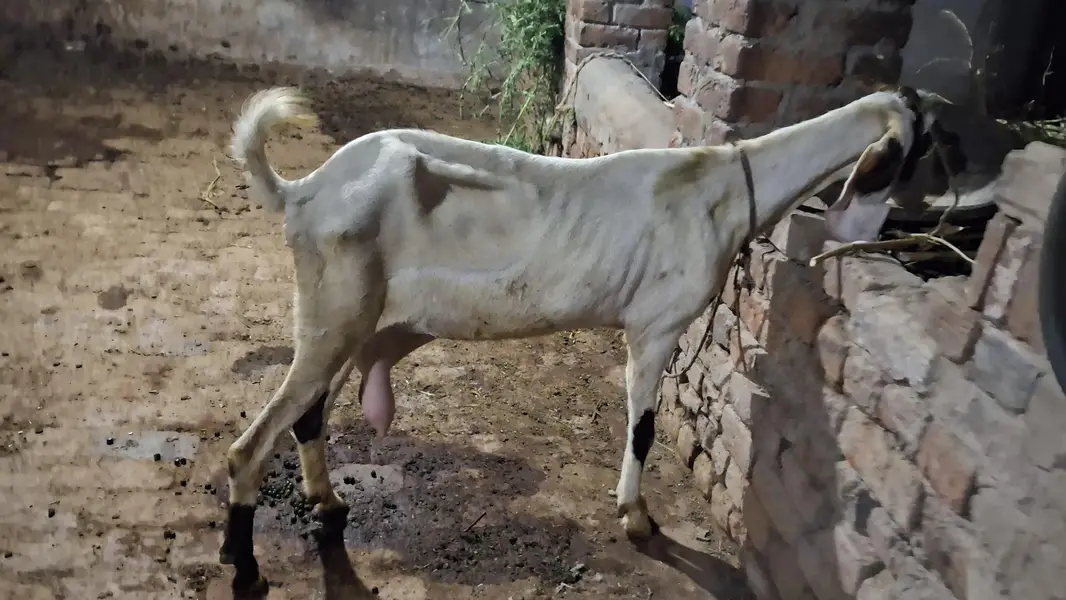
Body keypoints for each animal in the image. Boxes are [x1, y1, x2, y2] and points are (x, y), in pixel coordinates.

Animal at [220, 84, 935, 594]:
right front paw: (636, 517)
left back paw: (327, 501)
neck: (723, 190)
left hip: (351, 322)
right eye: (916, 149)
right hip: (332, 314)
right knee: (251, 442)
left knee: (308, 415)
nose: (889, 231)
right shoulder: (656, 325)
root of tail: (302, 191)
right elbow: (642, 429)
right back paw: (243, 561)